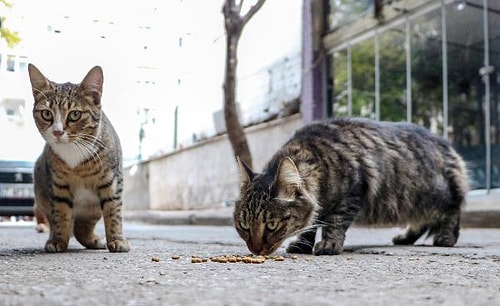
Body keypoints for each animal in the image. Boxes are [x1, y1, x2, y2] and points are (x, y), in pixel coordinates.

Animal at [27, 63, 130, 252]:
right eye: (46, 114)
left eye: (75, 114)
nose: (57, 132)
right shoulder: (58, 184)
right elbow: (60, 214)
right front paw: (58, 240)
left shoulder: (112, 181)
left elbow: (113, 211)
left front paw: (117, 240)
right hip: (41, 191)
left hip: (92, 208)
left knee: (82, 226)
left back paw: (94, 240)